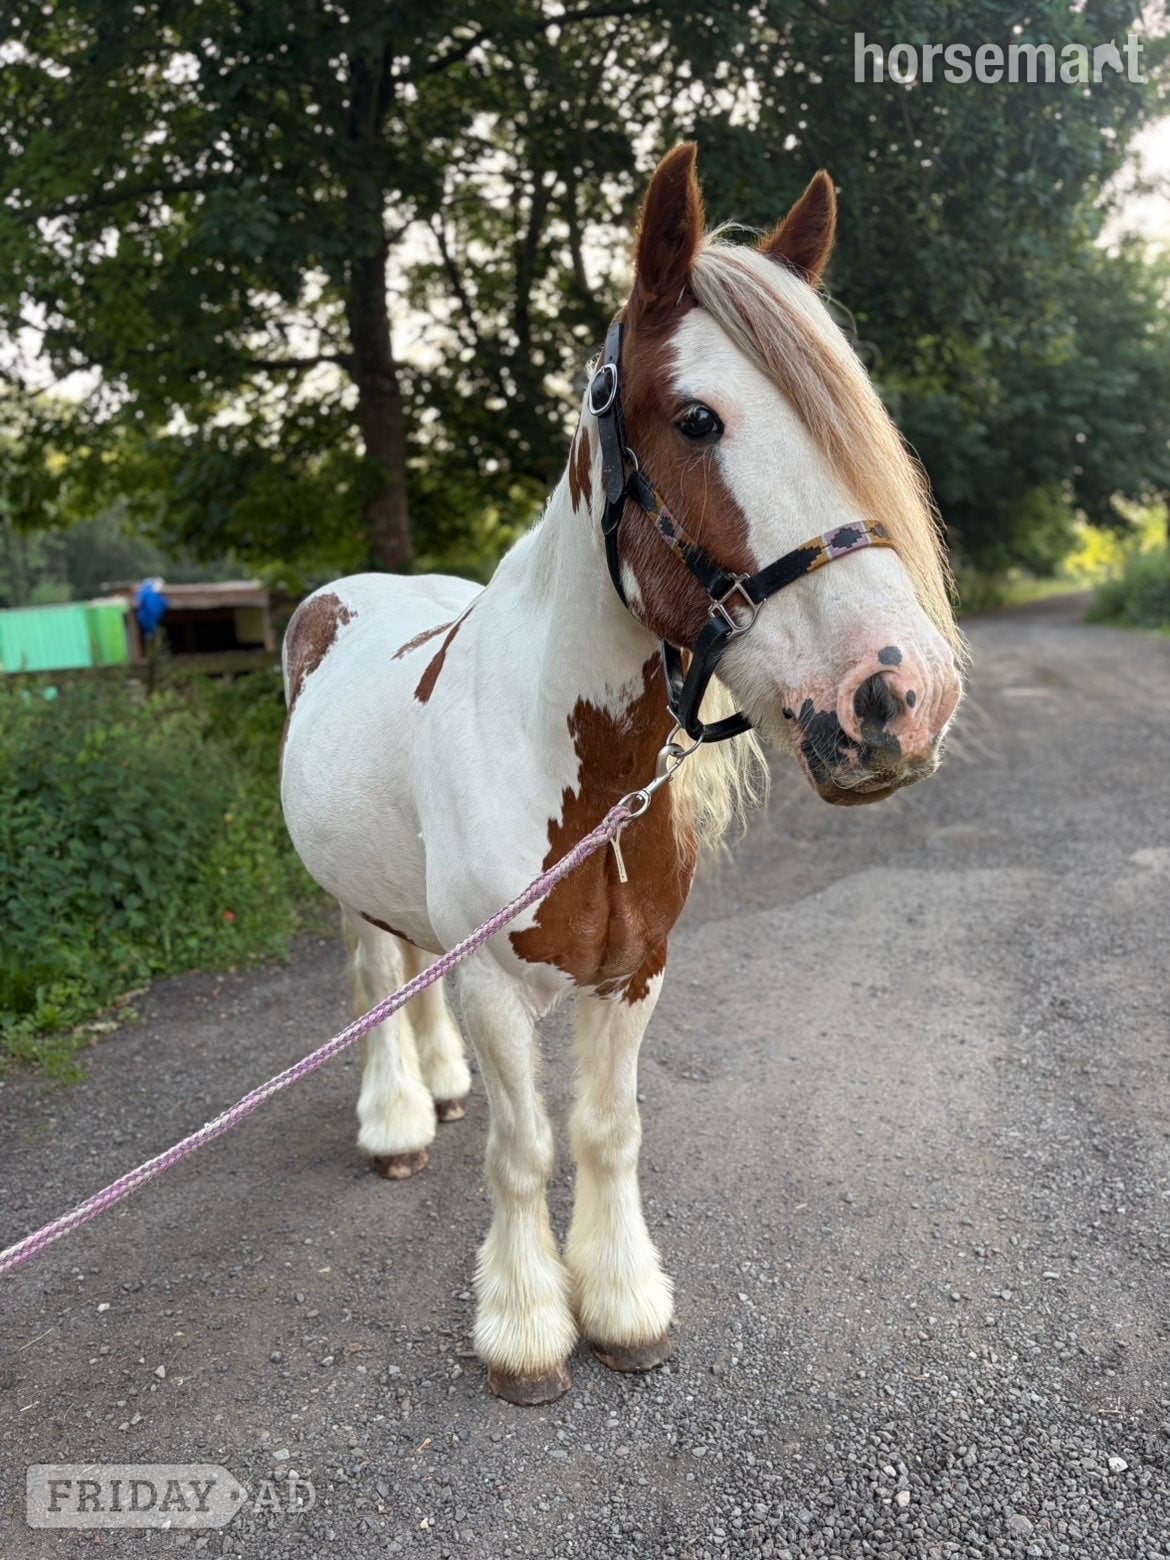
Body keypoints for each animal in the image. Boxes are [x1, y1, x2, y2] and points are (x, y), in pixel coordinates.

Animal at [279, 144, 964, 1405]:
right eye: (697, 418)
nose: (902, 695)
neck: (579, 774)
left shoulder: (637, 972)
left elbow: (606, 1133)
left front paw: (623, 1307)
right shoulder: (500, 985)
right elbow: (523, 1150)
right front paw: (524, 1331)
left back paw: (436, 1085)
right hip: (349, 896)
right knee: (375, 979)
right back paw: (399, 1121)